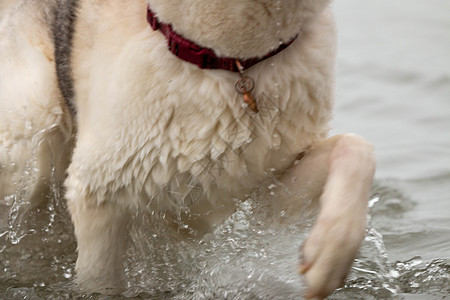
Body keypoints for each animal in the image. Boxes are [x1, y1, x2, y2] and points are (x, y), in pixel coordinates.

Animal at [0, 0, 374, 298]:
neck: (228, 64)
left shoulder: (268, 189)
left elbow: (358, 149)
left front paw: (328, 255)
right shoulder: (98, 195)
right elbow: (101, 283)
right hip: (34, 133)